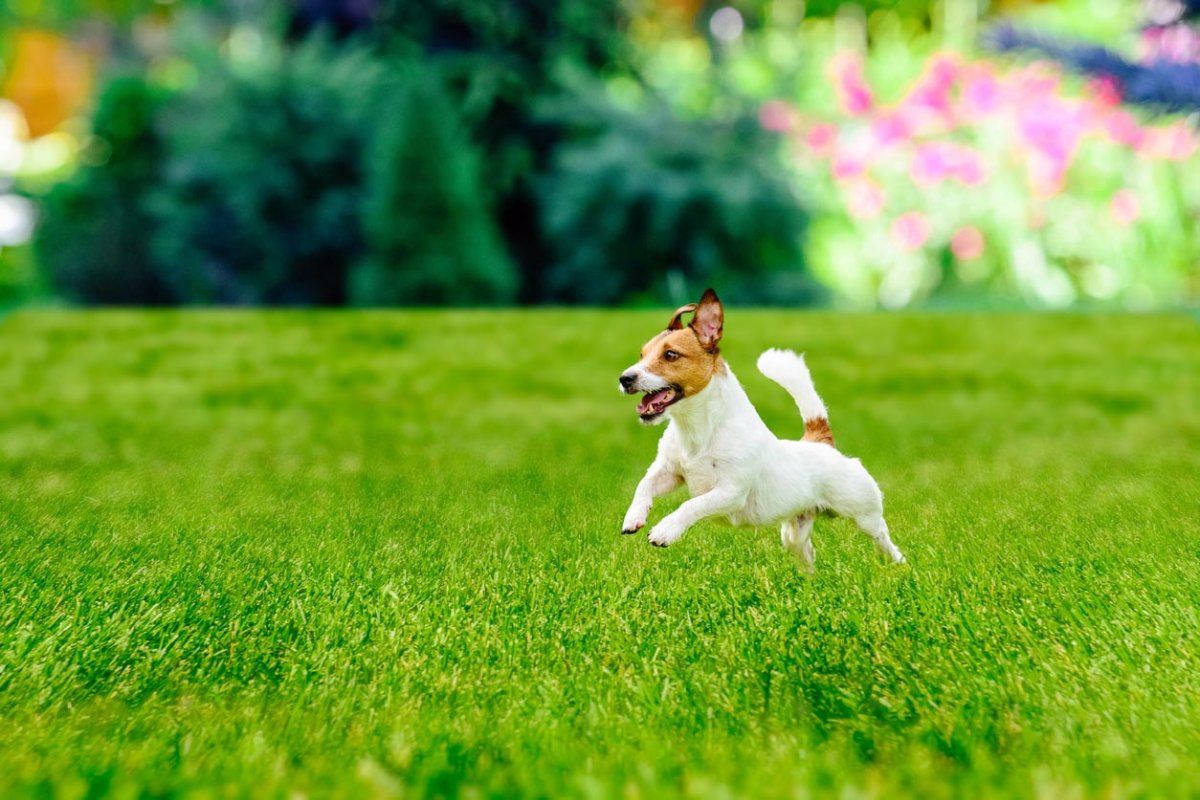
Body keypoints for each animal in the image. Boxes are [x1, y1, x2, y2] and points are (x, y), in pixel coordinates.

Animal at [614, 287, 902, 568]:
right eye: (642, 354)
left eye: (671, 355)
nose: (625, 378)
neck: (697, 429)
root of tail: (819, 441)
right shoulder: (669, 471)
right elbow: (644, 484)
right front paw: (633, 517)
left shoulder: (730, 491)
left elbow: (692, 504)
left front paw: (665, 530)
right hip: (794, 532)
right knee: (806, 551)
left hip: (863, 511)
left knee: (881, 535)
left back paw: (896, 562)